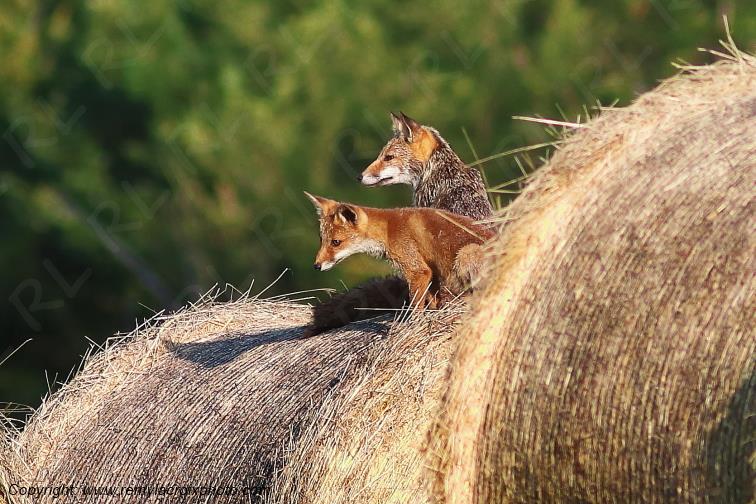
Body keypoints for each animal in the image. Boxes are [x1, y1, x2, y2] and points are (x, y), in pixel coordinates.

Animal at [304, 192, 494, 312]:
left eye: (336, 242)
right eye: (322, 240)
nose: (316, 266)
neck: (388, 230)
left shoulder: (418, 270)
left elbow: (415, 307)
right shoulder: (431, 271)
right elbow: (432, 299)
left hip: (466, 253)